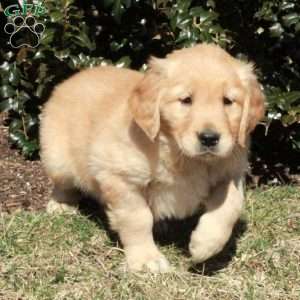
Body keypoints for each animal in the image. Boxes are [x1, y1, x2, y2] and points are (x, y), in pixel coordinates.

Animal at [39, 44, 264, 272]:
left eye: (228, 101)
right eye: (186, 100)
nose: (209, 138)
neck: (182, 156)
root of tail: (71, 78)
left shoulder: (231, 169)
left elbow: (230, 204)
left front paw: (205, 244)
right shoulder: (119, 178)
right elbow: (138, 218)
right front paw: (146, 259)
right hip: (57, 159)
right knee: (63, 184)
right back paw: (61, 205)